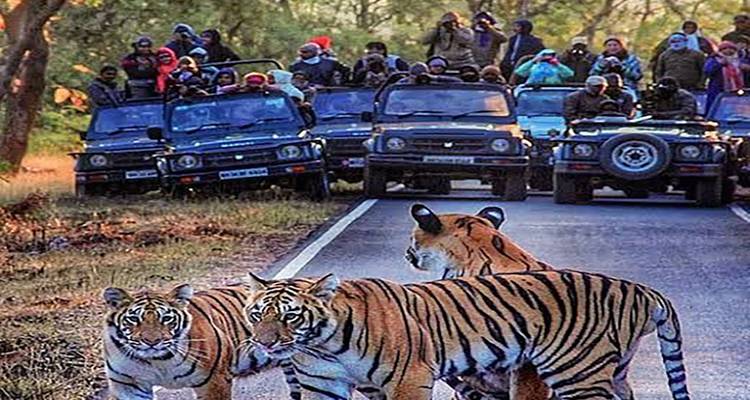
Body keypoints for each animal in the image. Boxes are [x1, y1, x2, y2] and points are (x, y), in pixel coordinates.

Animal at [102, 283, 301, 400]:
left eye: (166, 319)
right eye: (134, 319)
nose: (152, 341)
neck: (157, 361)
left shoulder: (213, 381)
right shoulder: (128, 386)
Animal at [235, 270, 690, 400]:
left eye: (290, 317)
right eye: (257, 315)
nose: (266, 342)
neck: (324, 346)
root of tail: (638, 288)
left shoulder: (410, 378)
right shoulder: (322, 387)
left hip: (577, 372)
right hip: (611, 370)